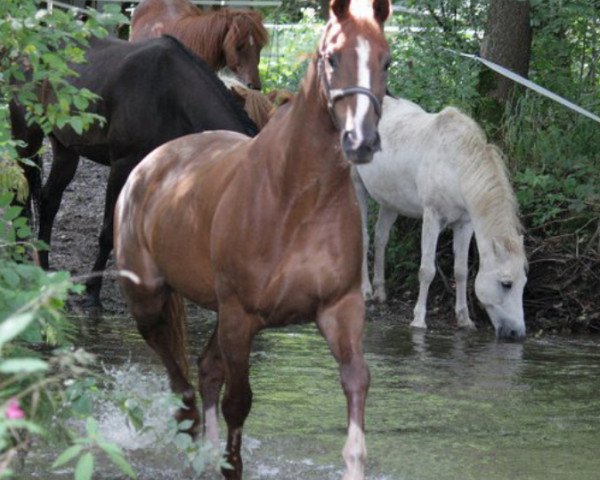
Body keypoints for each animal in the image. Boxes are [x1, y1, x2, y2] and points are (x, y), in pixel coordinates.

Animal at [354, 95, 528, 340]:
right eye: (506, 284)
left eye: (524, 284)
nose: (517, 333)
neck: (455, 165)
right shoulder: (432, 218)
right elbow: (427, 271)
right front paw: (418, 320)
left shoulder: (464, 224)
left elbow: (461, 272)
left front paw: (465, 320)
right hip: (357, 185)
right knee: (365, 236)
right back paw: (366, 291)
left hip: (389, 201)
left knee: (381, 239)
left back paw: (380, 292)